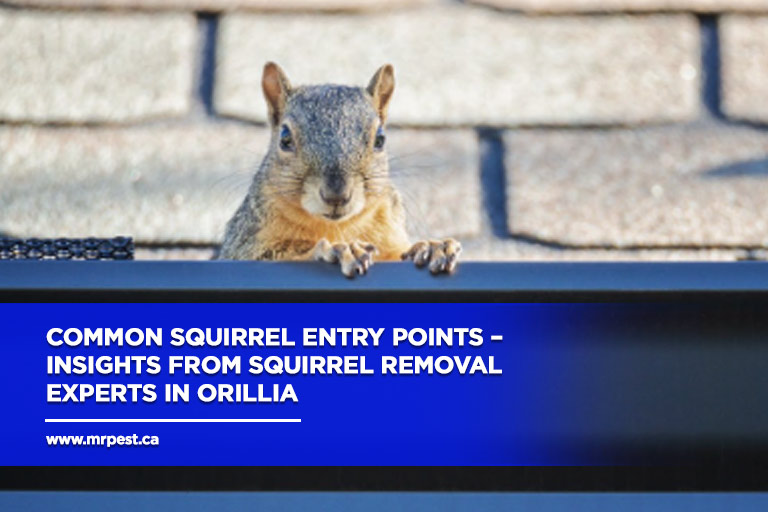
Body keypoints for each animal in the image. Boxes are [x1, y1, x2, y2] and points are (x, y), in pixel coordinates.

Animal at [218, 62, 461, 277]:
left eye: (380, 139)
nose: (336, 195)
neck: (336, 226)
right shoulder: (243, 246)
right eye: (284, 138)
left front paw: (430, 247)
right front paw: (337, 249)